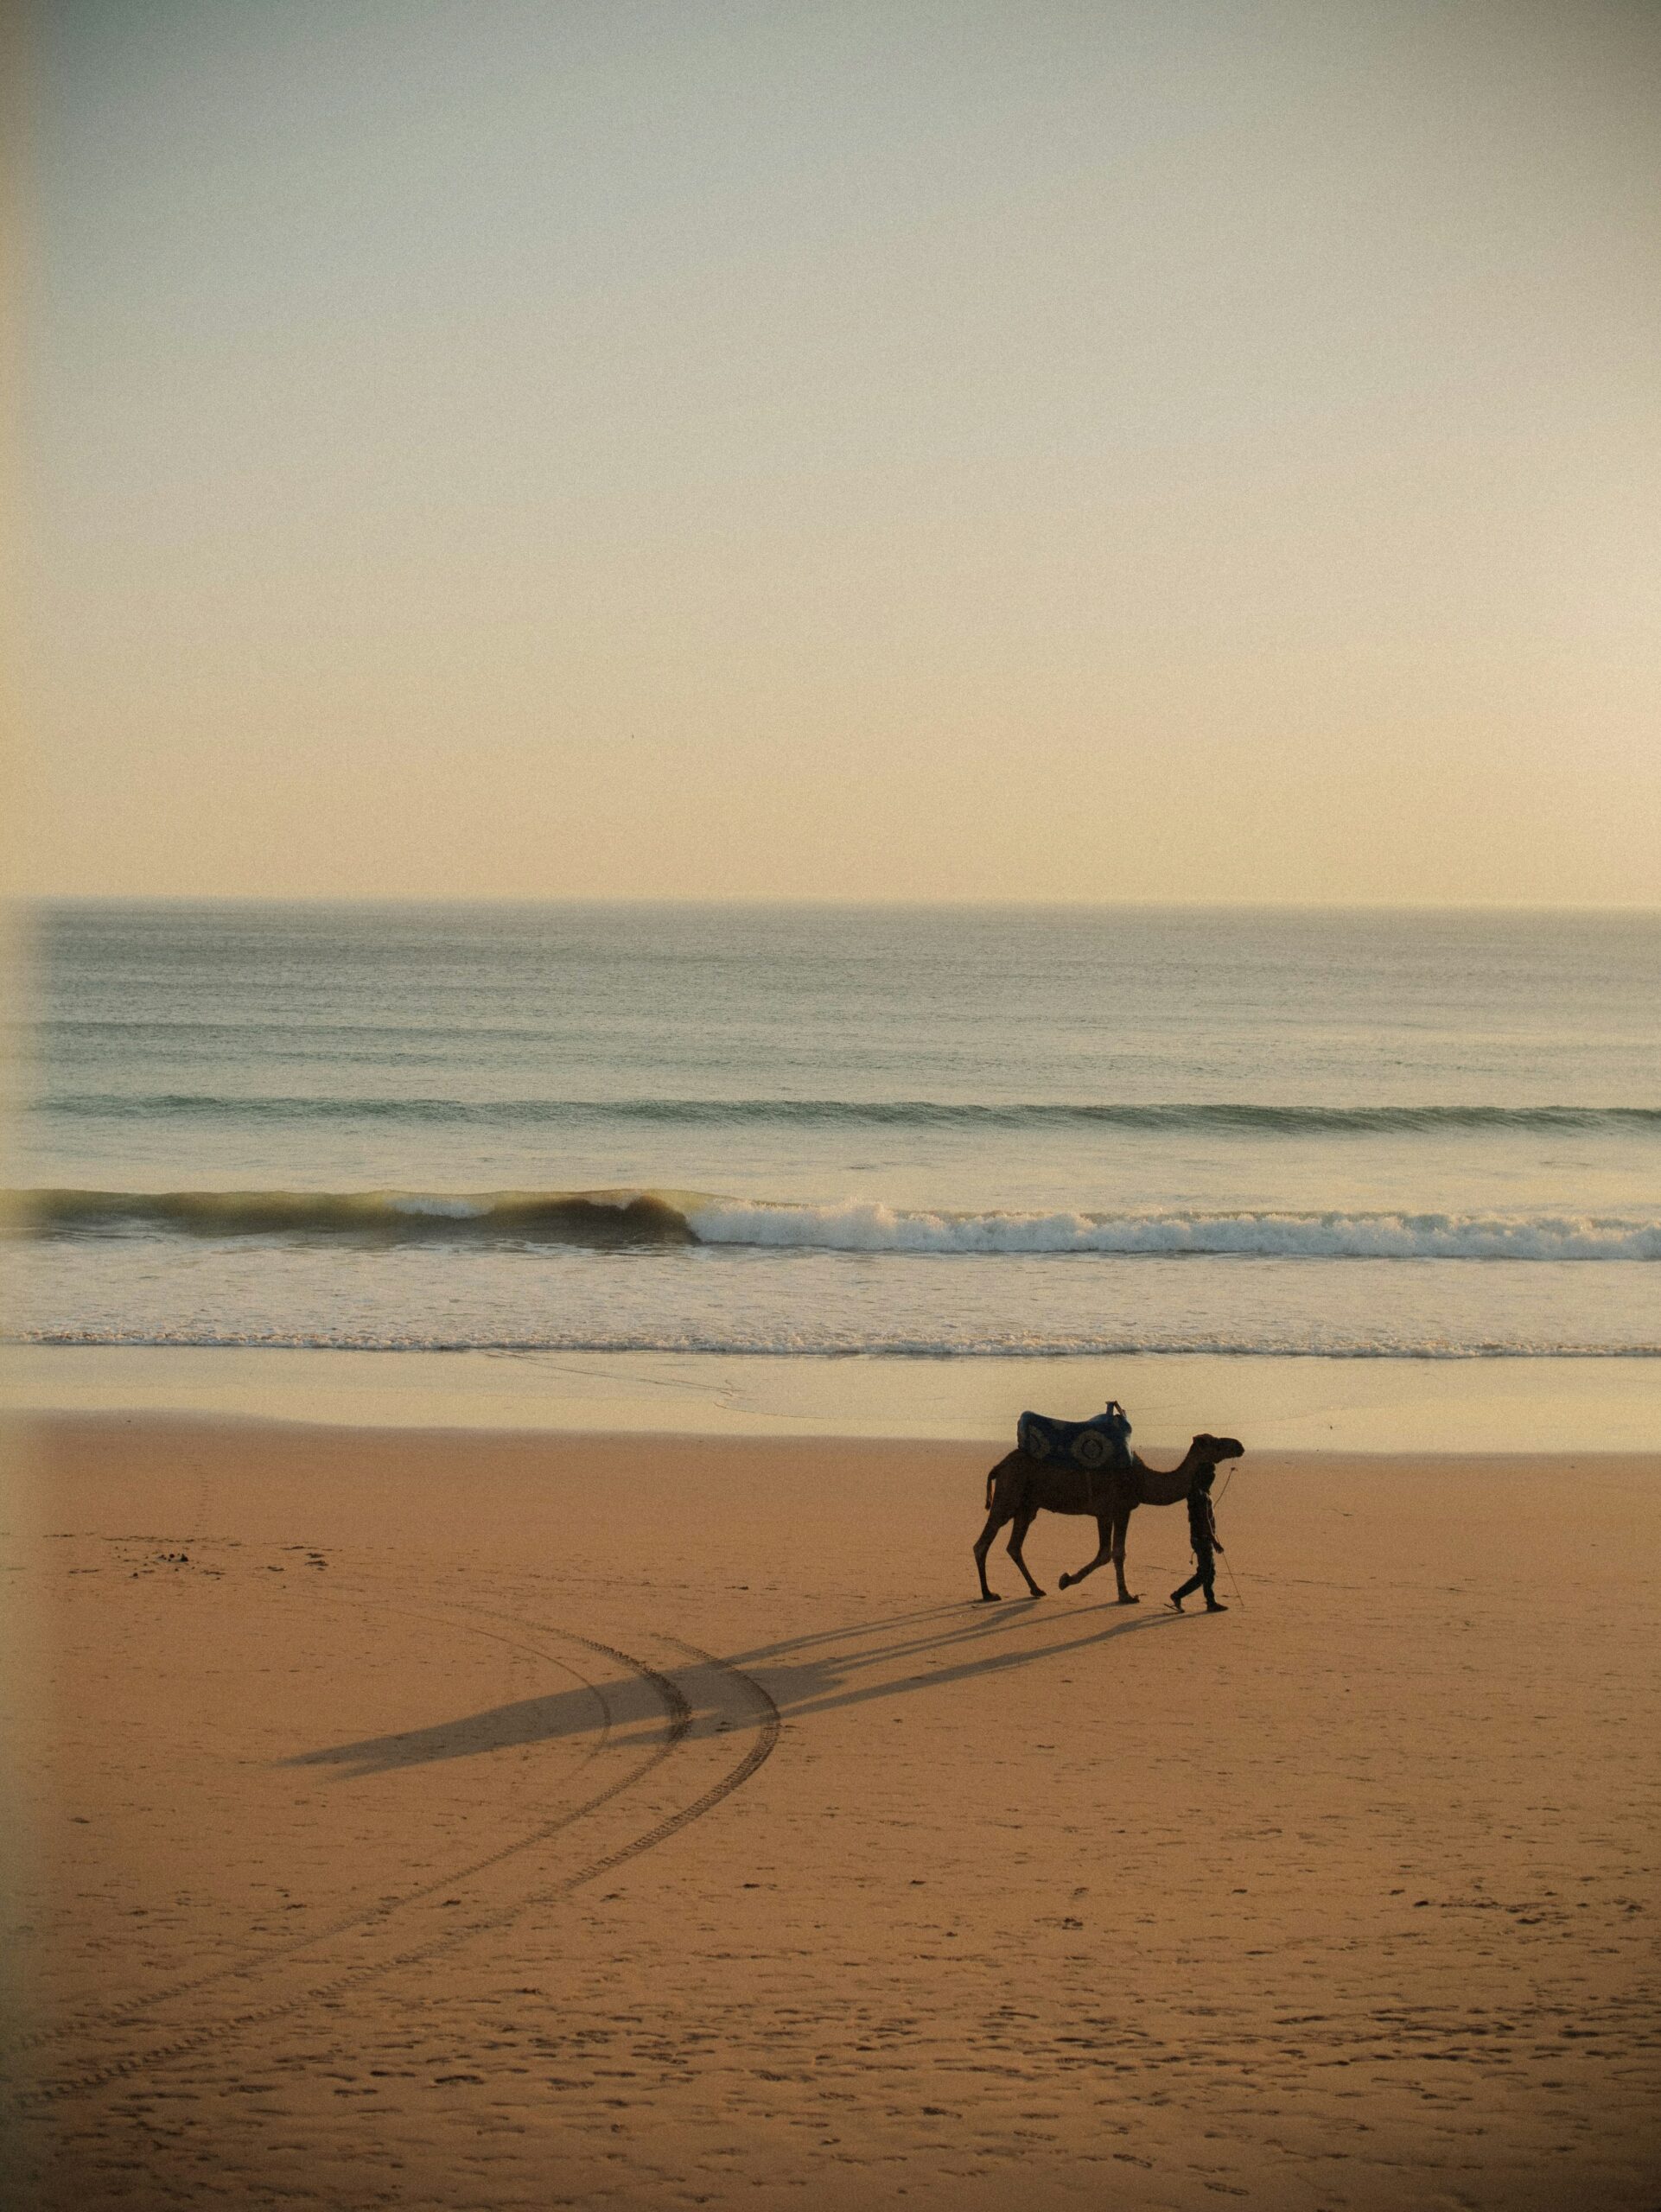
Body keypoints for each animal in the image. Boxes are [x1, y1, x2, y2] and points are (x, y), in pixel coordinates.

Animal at [972, 1432, 1244, 1604]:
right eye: (1216, 1443)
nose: (1239, 1445)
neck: (1142, 1480)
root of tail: (999, 1466)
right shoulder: (1113, 1510)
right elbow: (1113, 1553)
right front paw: (1124, 1595)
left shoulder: (1113, 1512)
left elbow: (1109, 1552)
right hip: (1009, 1495)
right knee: (983, 1542)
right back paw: (988, 1593)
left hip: (1028, 1505)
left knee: (1014, 1546)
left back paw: (1036, 1589)